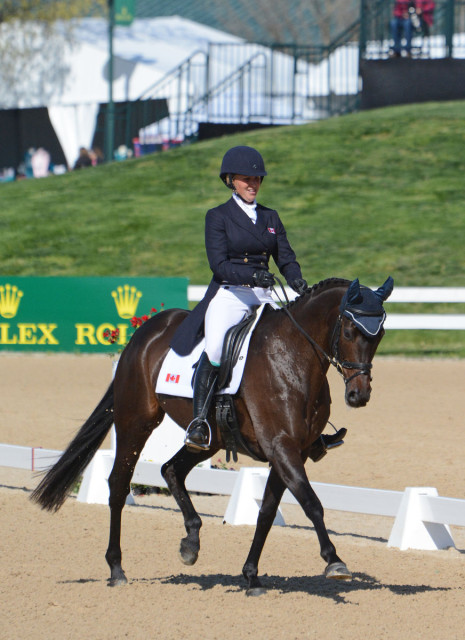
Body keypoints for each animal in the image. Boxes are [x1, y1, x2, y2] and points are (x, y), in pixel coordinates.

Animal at [29, 276, 392, 596]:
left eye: (380, 335)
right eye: (349, 330)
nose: (359, 395)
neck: (293, 356)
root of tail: (146, 330)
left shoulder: (291, 451)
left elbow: (267, 512)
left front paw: (252, 576)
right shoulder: (281, 446)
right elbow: (312, 502)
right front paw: (335, 562)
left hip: (209, 439)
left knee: (171, 470)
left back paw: (191, 543)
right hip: (135, 421)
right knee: (118, 484)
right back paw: (117, 569)